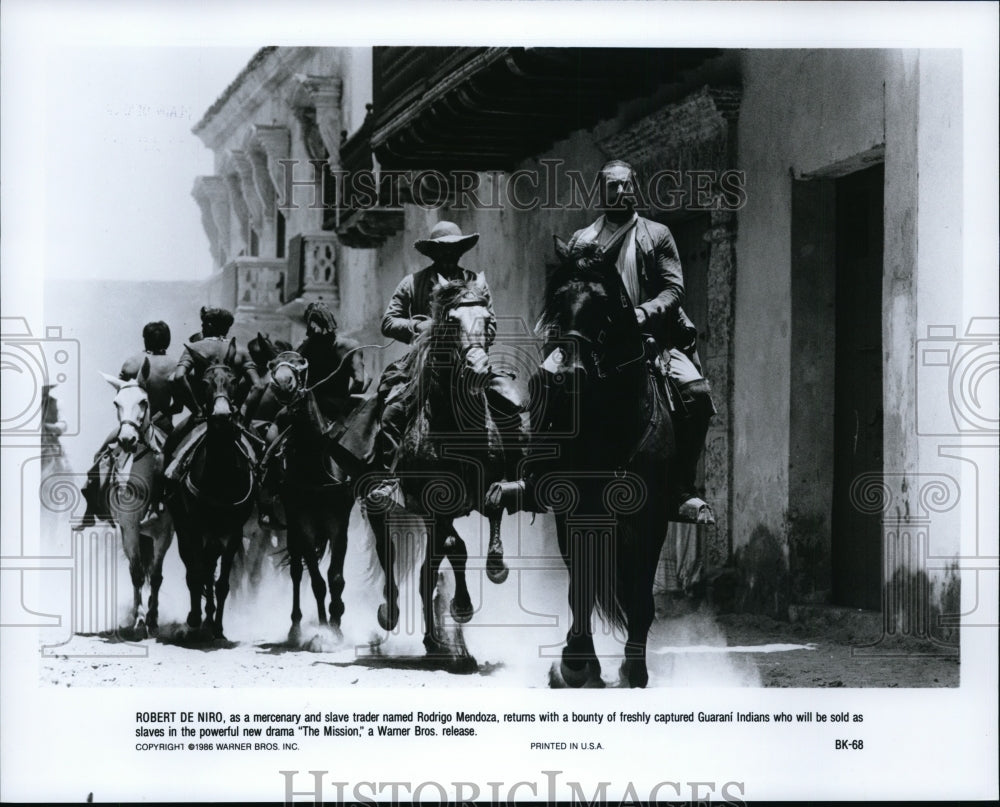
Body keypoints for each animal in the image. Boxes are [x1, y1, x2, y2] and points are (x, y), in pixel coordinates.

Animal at [164, 338, 258, 640]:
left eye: (233, 380)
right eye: (205, 382)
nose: (221, 415)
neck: (220, 473)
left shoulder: (234, 532)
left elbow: (223, 582)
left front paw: (217, 626)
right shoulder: (193, 528)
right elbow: (196, 574)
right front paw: (196, 618)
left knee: (209, 569)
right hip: (185, 527)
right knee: (194, 569)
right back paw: (198, 617)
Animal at [266, 354, 356, 644]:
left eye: (300, 362)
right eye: (272, 364)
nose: (283, 383)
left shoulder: (339, 521)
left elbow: (335, 577)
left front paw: (336, 625)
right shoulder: (302, 521)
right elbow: (317, 581)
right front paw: (325, 629)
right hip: (292, 529)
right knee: (297, 571)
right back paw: (296, 628)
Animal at [358, 278, 516, 656]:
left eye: (488, 319)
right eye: (452, 321)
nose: (478, 371)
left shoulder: (489, 486)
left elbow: (493, 512)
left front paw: (497, 567)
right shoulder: (436, 505)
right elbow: (455, 546)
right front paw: (462, 606)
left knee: (424, 576)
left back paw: (433, 640)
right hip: (381, 507)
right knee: (388, 555)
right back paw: (390, 613)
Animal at [488, 235, 676, 688]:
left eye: (606, 304)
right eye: (557, 301)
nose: (566, 373)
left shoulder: (651, 516)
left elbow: (640, 590)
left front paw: (635, 667)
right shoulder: (572, 510)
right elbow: (581, 586)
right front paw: (577, 662)